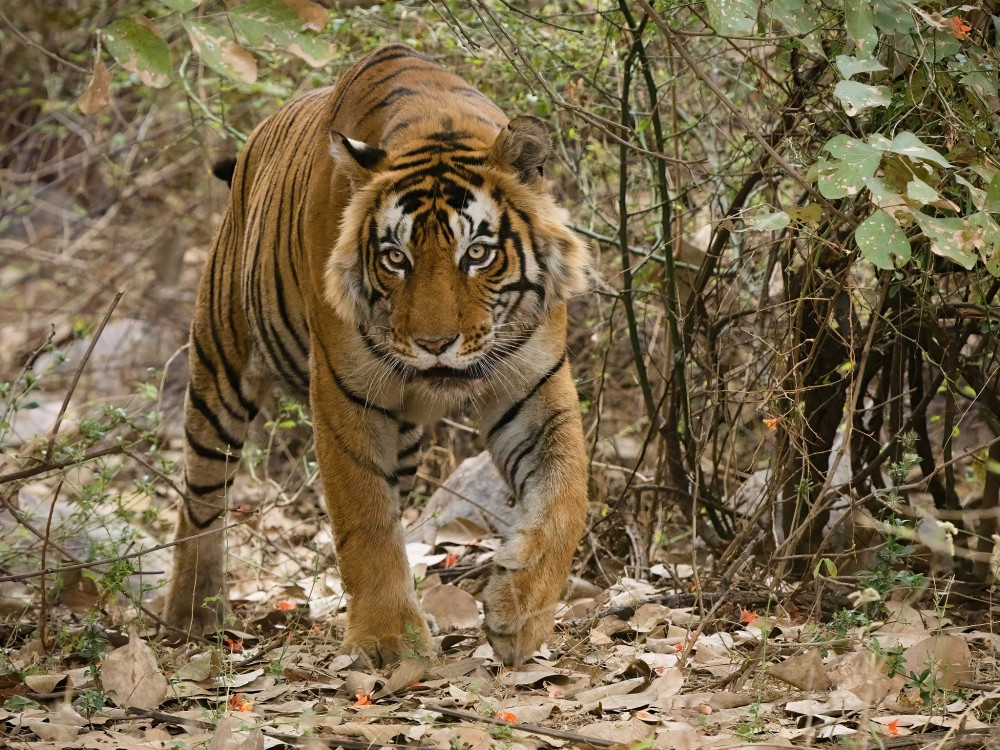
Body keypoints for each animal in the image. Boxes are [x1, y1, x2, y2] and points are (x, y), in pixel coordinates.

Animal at [160, 44, 588, 668]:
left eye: (477, 253)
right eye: (395, 258)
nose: (435, 344)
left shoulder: (533, 384)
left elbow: (566, 496)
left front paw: (519, 613)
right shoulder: (347, 389)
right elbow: (364, 514)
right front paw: (390, 642)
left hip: (404, 440)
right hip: (221, 367)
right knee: (202, 494)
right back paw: (192, 615)